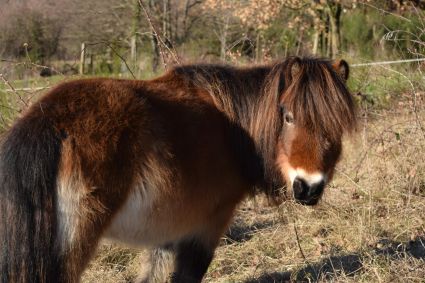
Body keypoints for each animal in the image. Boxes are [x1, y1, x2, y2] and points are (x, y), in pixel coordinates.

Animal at [0, 56, 354, 282]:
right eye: (288, 116)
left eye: (338, 124)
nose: (308, 187)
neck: (235, 131)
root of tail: (48, 122)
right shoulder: (206, 227)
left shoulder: (168, 233)